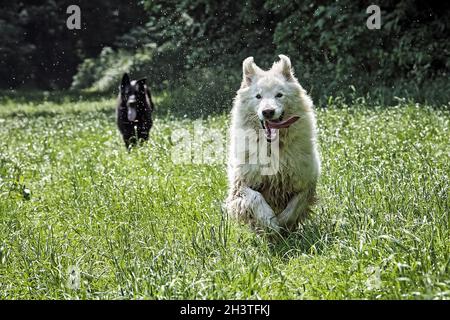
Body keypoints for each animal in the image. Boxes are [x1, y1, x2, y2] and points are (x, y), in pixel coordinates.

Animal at [225, 53, 320, 231]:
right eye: (258, 96)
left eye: (279, 95)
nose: (268, 112)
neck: (272, 147)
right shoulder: (241, 184)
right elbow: (255, 198)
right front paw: (270, 223)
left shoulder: (306, 181)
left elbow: (295, 205)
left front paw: (282, 224)